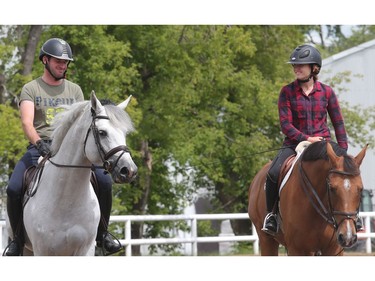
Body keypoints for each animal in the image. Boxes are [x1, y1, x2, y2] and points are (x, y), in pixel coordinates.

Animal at [9, 91, 137, 255]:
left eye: (125, 133)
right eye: (102, 132)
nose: (128, 170)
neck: (67, 200)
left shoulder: (86, 250)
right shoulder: (42, 250)